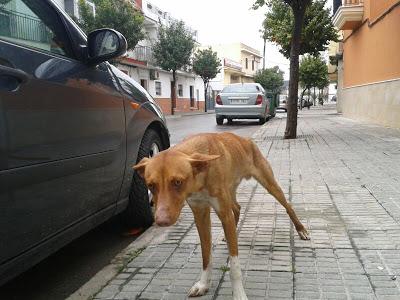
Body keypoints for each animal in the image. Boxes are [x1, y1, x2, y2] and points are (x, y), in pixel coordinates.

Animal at [134, 132, 310, 298]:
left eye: (177, 182)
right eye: (151, 185)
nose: (161, 221)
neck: (200, 179)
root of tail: (246, 140)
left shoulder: (224, 214)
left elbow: (234, 267)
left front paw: (239, 294)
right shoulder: (200, 215)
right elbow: (206, 256)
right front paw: (203, 284)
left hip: (269, 184)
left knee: (288, 206)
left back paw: (301, 229)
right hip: (230, 192)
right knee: (237, 208)